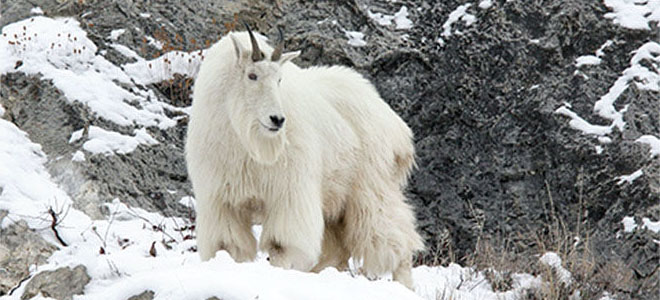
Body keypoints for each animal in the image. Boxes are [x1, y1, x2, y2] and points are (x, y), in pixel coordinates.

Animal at [184, 26, 422, 288]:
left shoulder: (288, 192)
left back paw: (404, 284)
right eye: (252, 75)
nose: (277, 119)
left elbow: (281, 246)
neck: (247, 140)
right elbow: (229, 245)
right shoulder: (222, 199)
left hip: (371, 187)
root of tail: (397, 127)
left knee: (393, 236)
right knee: (338, 251)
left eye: (279, 79)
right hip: (335, 201)